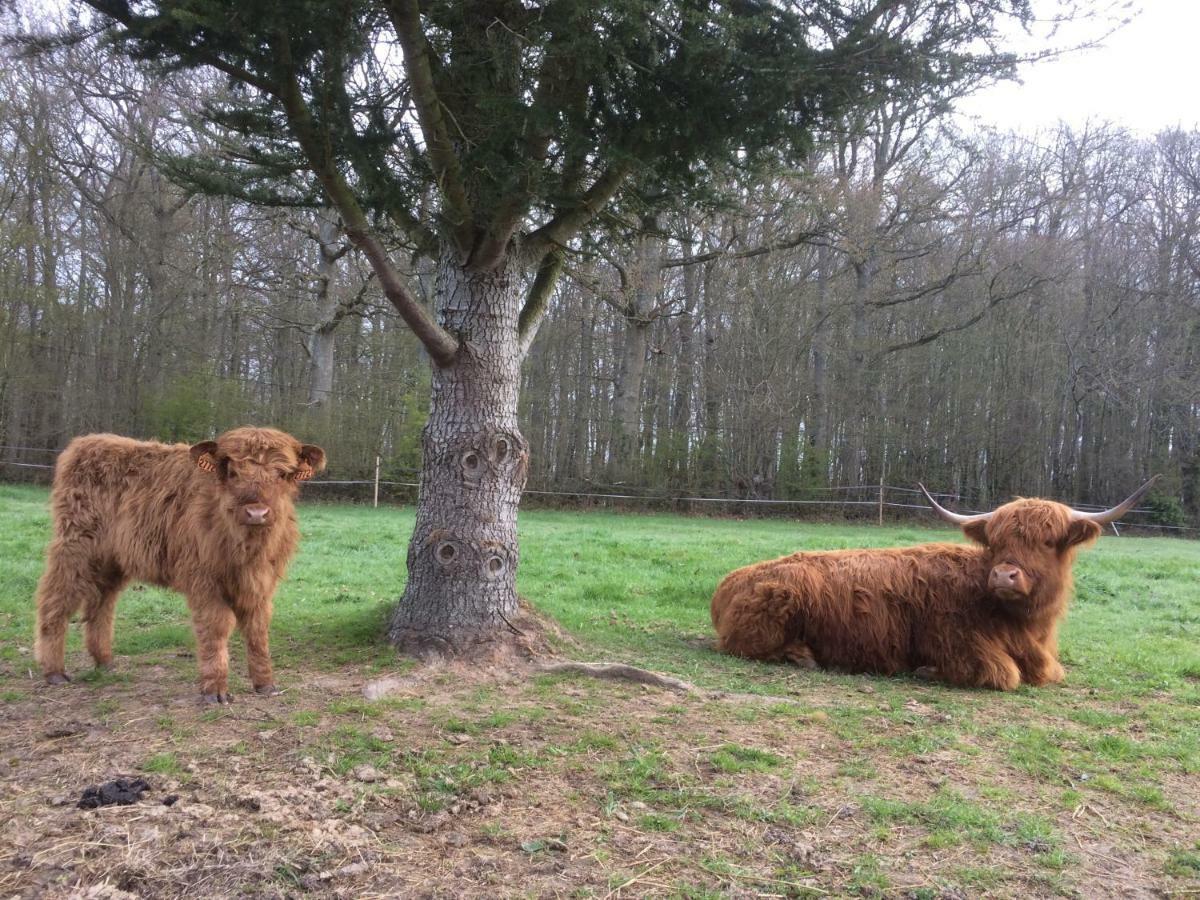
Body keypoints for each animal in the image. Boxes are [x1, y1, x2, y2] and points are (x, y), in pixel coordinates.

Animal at [35, 429, 326, 705]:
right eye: (232, 471)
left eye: (282, 473)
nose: (256, 513)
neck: (247, 549)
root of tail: (86, 442)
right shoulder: (203, 580)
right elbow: (217, 626)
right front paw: (215, 690)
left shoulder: (261, 583)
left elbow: (257, 629)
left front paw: (265, 684)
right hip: (75, 550)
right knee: (56, 601)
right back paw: (54, 672)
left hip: (111, 561)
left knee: (101, 605)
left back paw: (105, 662)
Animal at [705, 480, 1156, 691]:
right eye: (995, 541)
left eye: (1048, 541)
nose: (1003, 575)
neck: (1024, 625)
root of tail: (729, 582)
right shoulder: (960, 644)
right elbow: (1004, 673)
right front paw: (926, 670)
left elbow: (1051, 673)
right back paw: (802, 656)